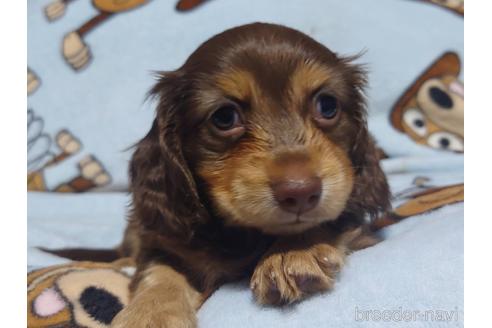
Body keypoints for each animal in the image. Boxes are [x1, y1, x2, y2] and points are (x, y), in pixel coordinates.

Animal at [110, 23, 388, 328]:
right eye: (224, 117)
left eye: (327, 105)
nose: (301, 192)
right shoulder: (165, 242)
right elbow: (160, 272)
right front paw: (149, 314)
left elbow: (328, 221)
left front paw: (293, 252)